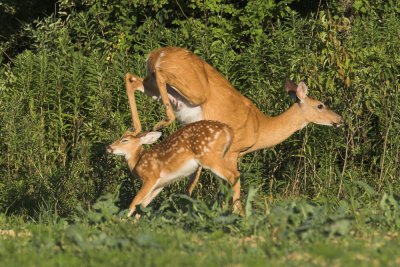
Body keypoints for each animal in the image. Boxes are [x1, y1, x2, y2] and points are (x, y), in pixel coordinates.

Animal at [105, 120, 241, 219]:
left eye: (124, 140)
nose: (108, 147)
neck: (138, 162)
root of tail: (228, 130)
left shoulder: (151, 177)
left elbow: (134, 202)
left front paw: (122, 221)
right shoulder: (159, 185)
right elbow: (143, 205)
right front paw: (135, 223)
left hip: (209, 156)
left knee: (234, 175)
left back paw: (237, 213)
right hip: (222, 157)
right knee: (226, 183)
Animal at [125, 47, 344, 206]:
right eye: (320, 105)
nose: (340, 119)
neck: (261, 128)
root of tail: (157, 53)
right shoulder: (232, 152)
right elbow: (233, 186)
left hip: (154, 86)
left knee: (131, 78)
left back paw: (136, 129)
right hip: (193, 90)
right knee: (158, 75)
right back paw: (162, 121)